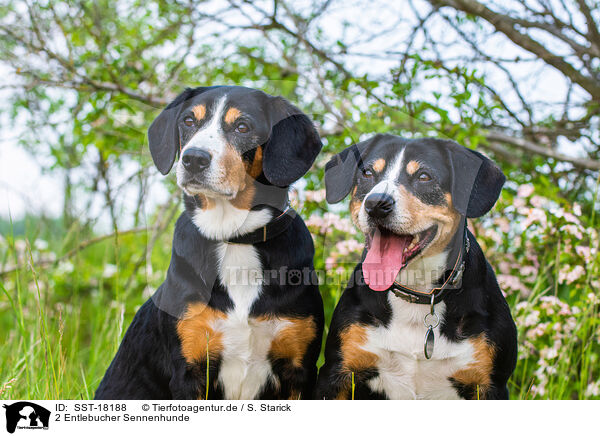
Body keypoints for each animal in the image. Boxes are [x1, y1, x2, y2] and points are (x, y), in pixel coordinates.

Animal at [95, 87, 324, 400]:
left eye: (242, 126)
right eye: (189, 121)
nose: (193, 159)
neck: (234, 239)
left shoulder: (298, 369)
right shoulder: (191, 368)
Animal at [316, 135, 516, 400]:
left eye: (424, 176)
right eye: (367, 173)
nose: (376, 203)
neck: (416, 291)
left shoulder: (489, 384)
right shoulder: (338, 373)